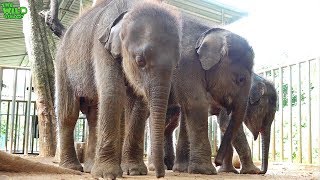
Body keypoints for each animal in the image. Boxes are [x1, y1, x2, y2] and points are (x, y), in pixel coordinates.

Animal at [54, 0, 180, 179]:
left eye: (176, 65)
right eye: (140, 61)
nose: (160, 174)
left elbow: (139, 101)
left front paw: (135, 171)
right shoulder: (101, 46)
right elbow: (112, 91)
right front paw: (107, 175)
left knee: (94, 115)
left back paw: (90, 168)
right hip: (62, 65)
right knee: (69, 113)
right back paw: (72, 167)